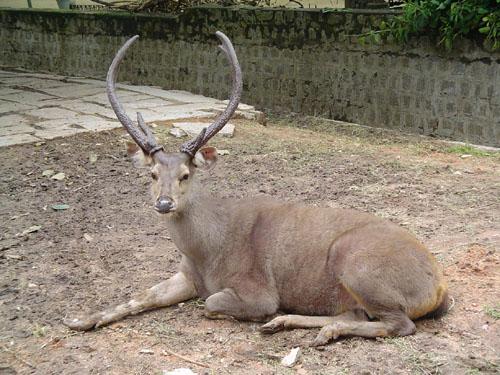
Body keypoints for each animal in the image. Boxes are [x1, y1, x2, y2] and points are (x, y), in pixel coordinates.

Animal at [63, 32, 450, 346]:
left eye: (186, 174)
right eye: (153, 174)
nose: (164, 203)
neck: (206, 253)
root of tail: (439, 287)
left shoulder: (258, 291)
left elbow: (211, 303)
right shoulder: (185, 275)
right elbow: (141, 296)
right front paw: (80, 319)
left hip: (358, 264)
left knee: (400, 324)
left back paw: (313, 328)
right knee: (356, 313)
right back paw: (290, 325)